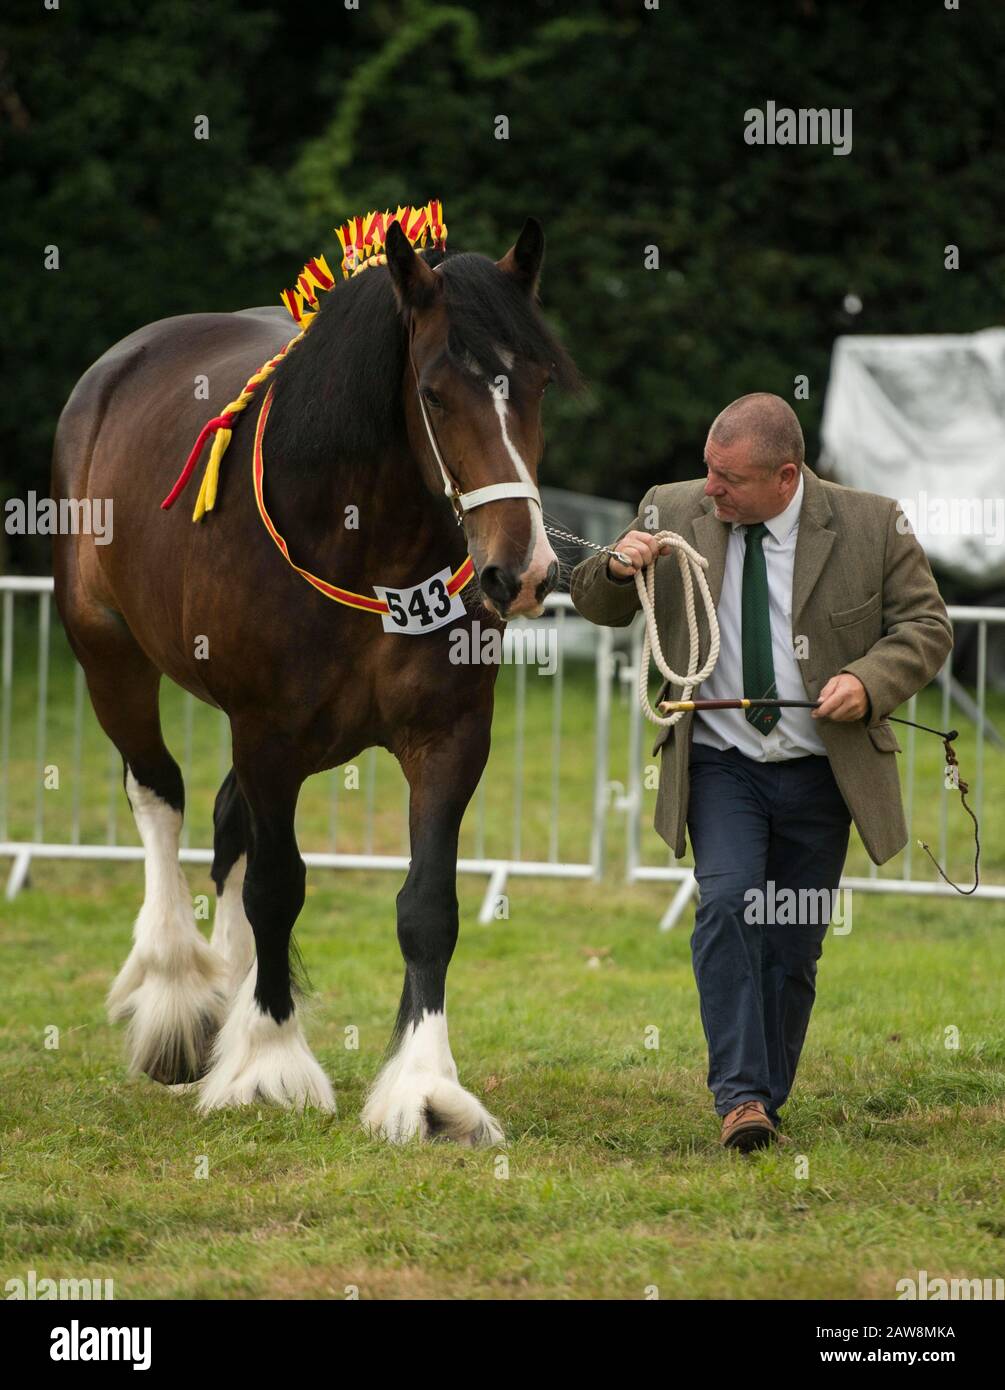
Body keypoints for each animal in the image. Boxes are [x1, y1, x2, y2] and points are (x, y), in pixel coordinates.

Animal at [48, 216, 581, 1145]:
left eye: (539, 384)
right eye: (433, 392)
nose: (520, 573)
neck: (363, 544)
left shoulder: (448, 738)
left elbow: (427, 906)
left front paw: (426, 1088)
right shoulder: (267, 734)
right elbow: (278, 887)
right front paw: (268, 1064)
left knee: (225, 822)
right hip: (108, 657)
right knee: (159, 795)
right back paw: (179, 999)